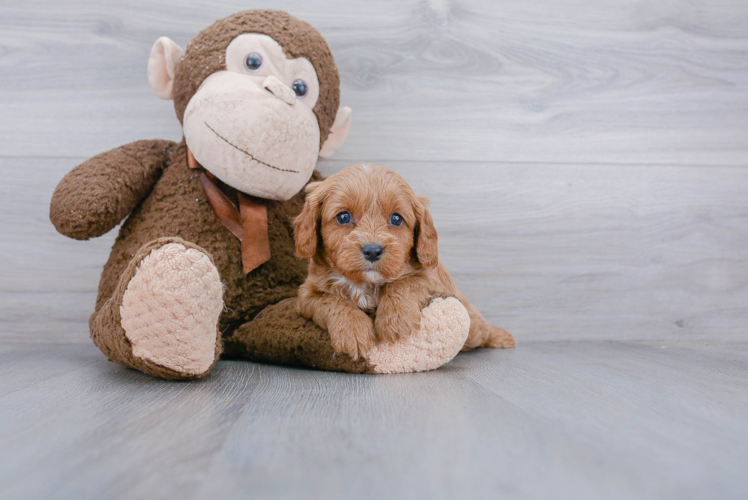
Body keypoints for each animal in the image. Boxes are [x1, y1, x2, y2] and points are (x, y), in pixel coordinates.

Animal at [292, 164, 516, 360]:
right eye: (344, 217)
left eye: (396, 219)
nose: (372, 251)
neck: (366, 284)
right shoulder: (307, 293)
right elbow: (332, 301)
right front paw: (352, 330)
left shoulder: (432, 279)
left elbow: (405, 282)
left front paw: (395, 321)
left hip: (472, 323)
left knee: (480, 329)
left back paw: (502, 337)